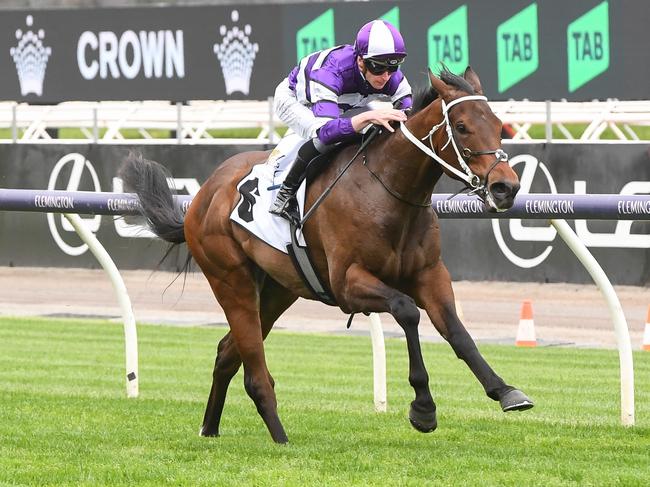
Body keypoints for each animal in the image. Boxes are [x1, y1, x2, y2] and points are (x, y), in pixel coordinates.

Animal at [120, 66, 532, 444]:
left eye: (499, 125)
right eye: (461, 126)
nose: (506, 187)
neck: (388, 190)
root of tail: (202, 196)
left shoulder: (430, 274)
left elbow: (457, 331)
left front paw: (506, 391)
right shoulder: (348, 283)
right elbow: (407, 311)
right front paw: (423, 408)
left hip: (277, 290)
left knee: (226, 353)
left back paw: (210, 428)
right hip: (230, 280)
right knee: (254, 371)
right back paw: (281, 439)